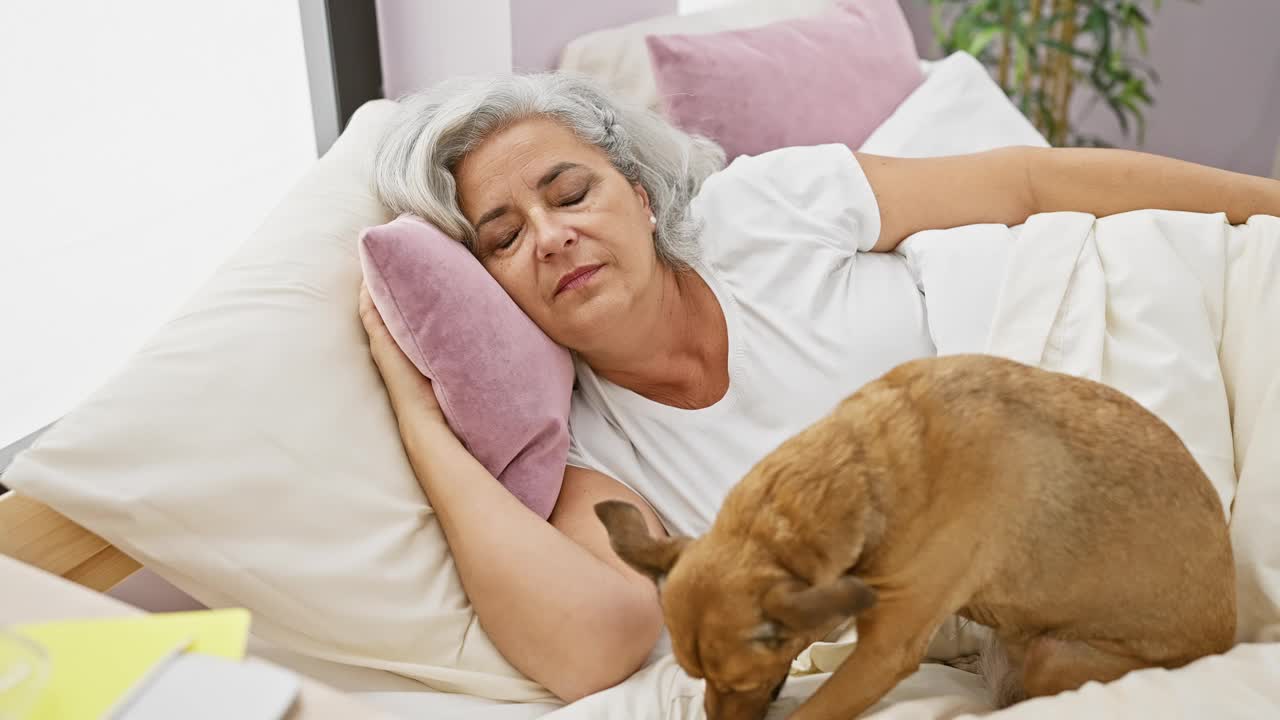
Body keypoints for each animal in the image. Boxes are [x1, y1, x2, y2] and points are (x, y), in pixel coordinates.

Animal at [593, 353, 1233, 717]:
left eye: (740, 681)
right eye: (698, 678)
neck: (867, 469)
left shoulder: (883, 654)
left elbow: (813, 711)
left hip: (1055, 655)